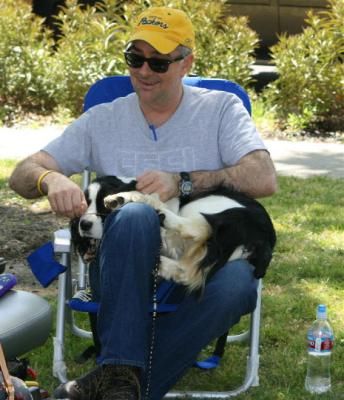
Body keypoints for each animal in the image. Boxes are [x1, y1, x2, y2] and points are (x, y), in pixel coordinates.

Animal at [70, 175, 276, 290]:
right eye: (85, 204)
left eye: (101, 207)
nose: (84, 224)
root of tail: (266, 238)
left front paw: (123, 198)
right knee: (185, 270)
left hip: (206, 209)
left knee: (192, 227)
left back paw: (141, 204)